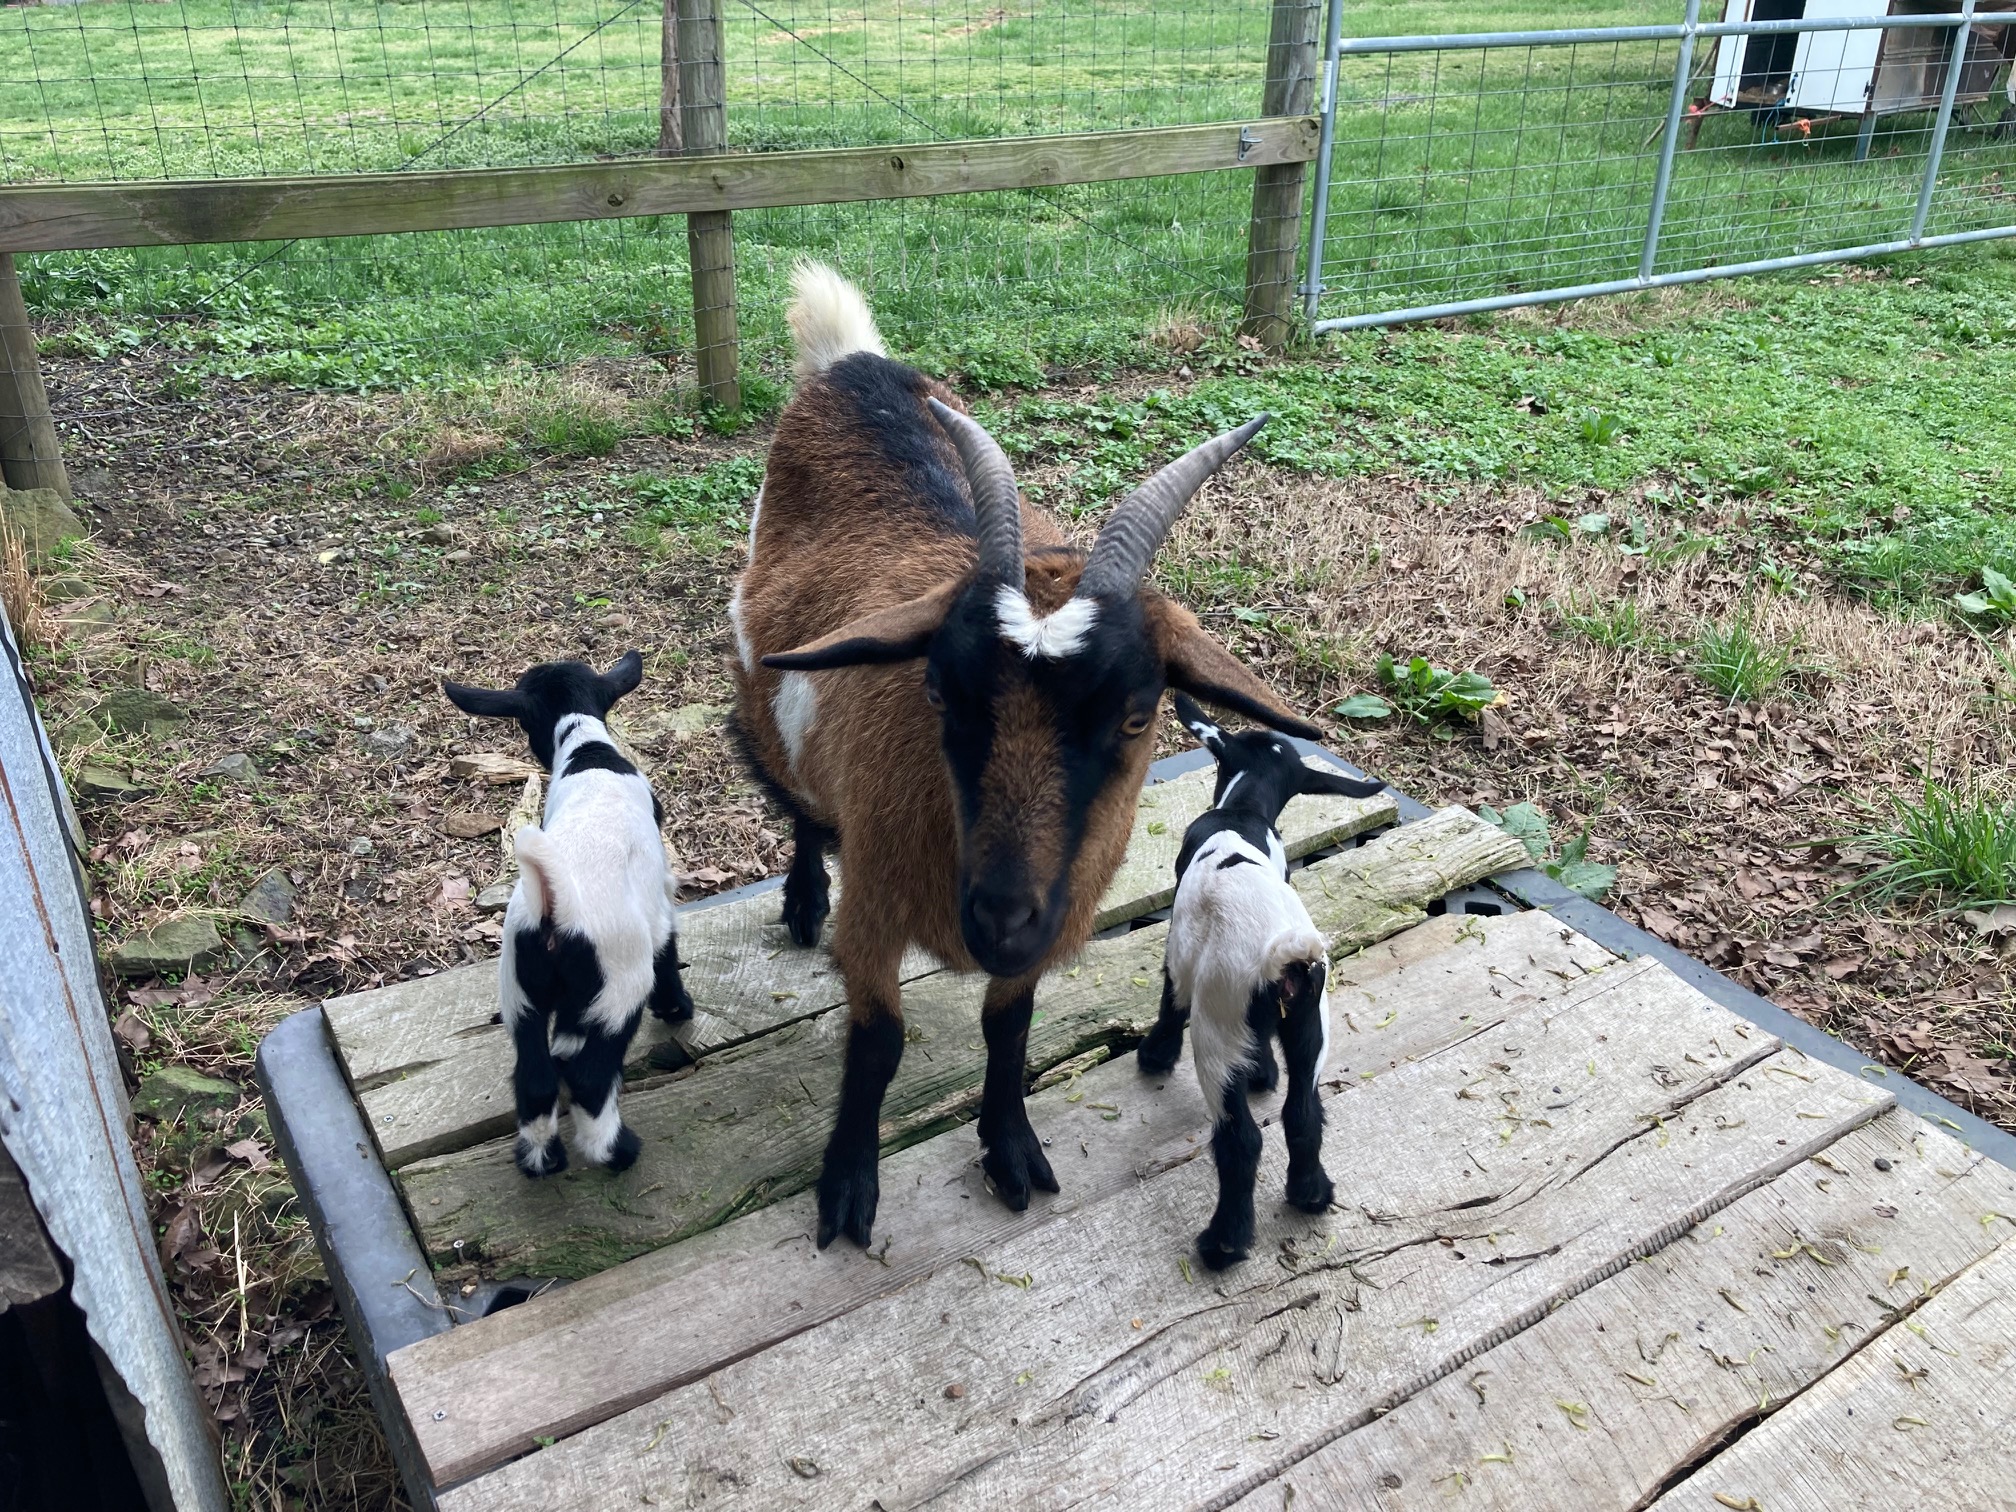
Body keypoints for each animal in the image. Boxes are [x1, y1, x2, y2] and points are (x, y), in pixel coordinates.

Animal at [442, 653, 692, 1176]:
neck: (587, 752)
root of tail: (554, 902)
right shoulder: (659, 898)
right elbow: (668, 951)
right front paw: (677, 1009)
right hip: (618, 989)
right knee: (591, 1079)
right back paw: (616, 1152)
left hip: (521, 993)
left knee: (533, 1077)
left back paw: (541, 1161)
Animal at [728, 261, 1320, 1249]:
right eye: (938, 691)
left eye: (1135, 716)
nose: (1000, 916)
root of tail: (852, 362)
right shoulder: (876, 907)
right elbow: (878, 1041)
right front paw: (847, 1183)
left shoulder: (1051, 924)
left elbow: (1010, 1027)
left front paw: (1009, 1147)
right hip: (758, 679)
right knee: (794, 793)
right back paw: (804, 897)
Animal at [1140, 692, 1384, 1269]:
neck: (1244, 812)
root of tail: (1283, 957)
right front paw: (1264, 1074)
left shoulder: (1181, 950)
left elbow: (1169, 998)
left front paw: (1154, 1055)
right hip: (1311, 1025)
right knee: (1303, 1111)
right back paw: (1311, 1193)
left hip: (1217, 1032)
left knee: (1240, 1139)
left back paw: (1225, 1241)